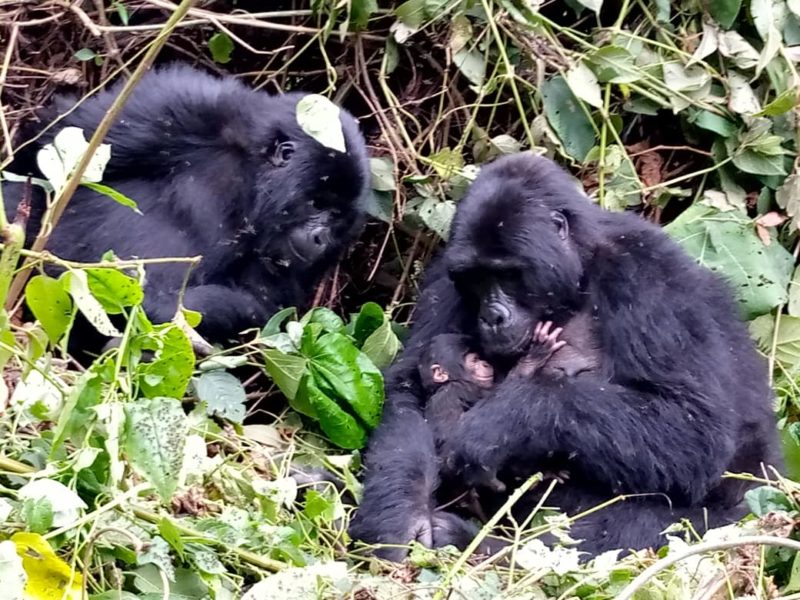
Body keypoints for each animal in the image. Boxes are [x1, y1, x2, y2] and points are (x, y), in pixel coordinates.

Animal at [1, 63, 370, 354]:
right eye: (317, 203)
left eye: (337, 219)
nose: (322, 238)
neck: (250, 177)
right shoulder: (181, 103)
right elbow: (51, 146)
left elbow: (258, 306)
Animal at [350, 151, 780, 564]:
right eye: (476, 278)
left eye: (509, 275)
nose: (492, 317)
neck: (579, 271)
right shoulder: (445, 274)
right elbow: (410, 386)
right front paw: (399, 520)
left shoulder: (648, 272)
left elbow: (693, 428)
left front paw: (497, 424)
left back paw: (487, 549)